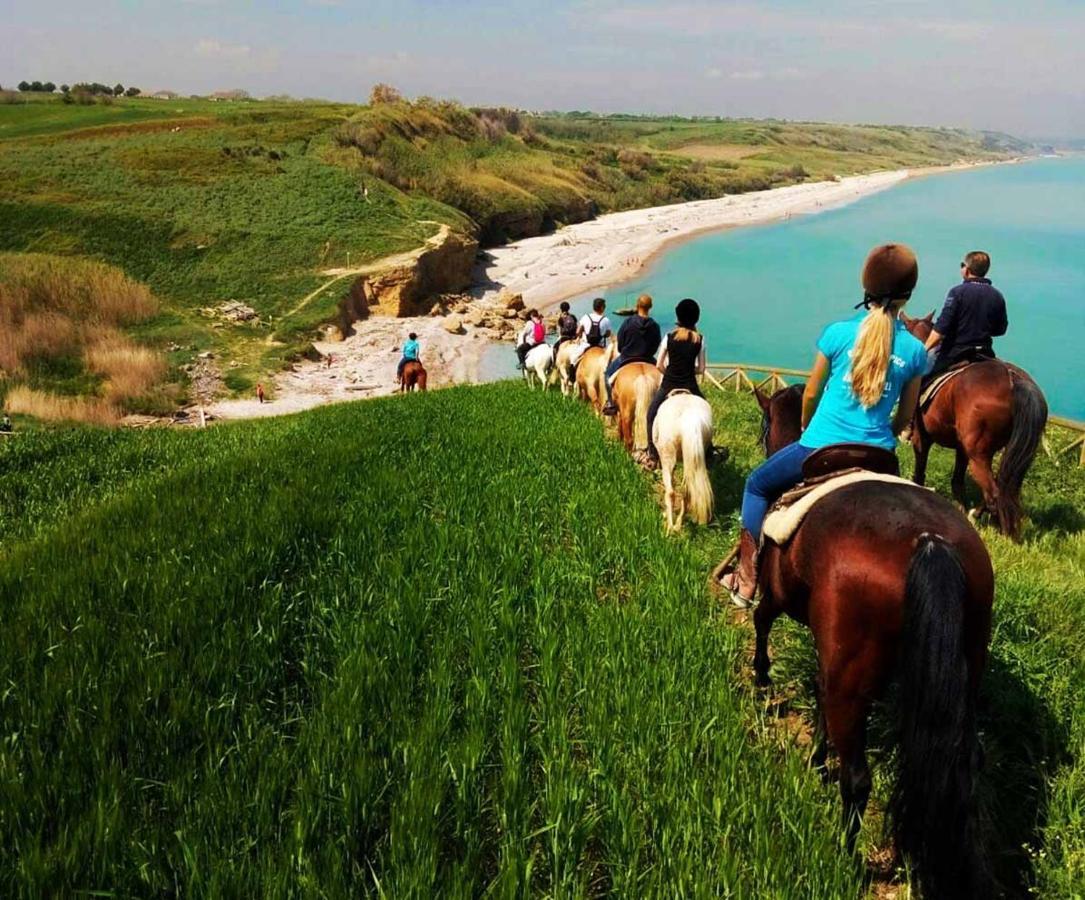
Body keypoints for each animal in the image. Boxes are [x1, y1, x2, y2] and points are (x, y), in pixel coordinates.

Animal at [646, 390, 716, 529]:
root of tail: (690, 419)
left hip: (667, 457)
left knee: (670, 492)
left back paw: (670, 526)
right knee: (686, 491)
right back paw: (678, 524)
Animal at [746, 386, 993, 898]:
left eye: (763, 425)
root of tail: (930, 540)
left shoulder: (779, 598)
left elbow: (761, 621)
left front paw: (761, 678)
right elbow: (818, 690)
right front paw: (818, 759)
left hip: (854, 678)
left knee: (860, 778)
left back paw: (844, 854)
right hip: (966, 666)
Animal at [898, 314, 1041, 540]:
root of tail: (1014, 379)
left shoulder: (923, 438)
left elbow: (920, 472)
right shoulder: (961, 448)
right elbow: (957, 480)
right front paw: (959, 510)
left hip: (978, 454)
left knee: (994, 493)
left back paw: (993, 525)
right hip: (1006, 452)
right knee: (1004, 488)